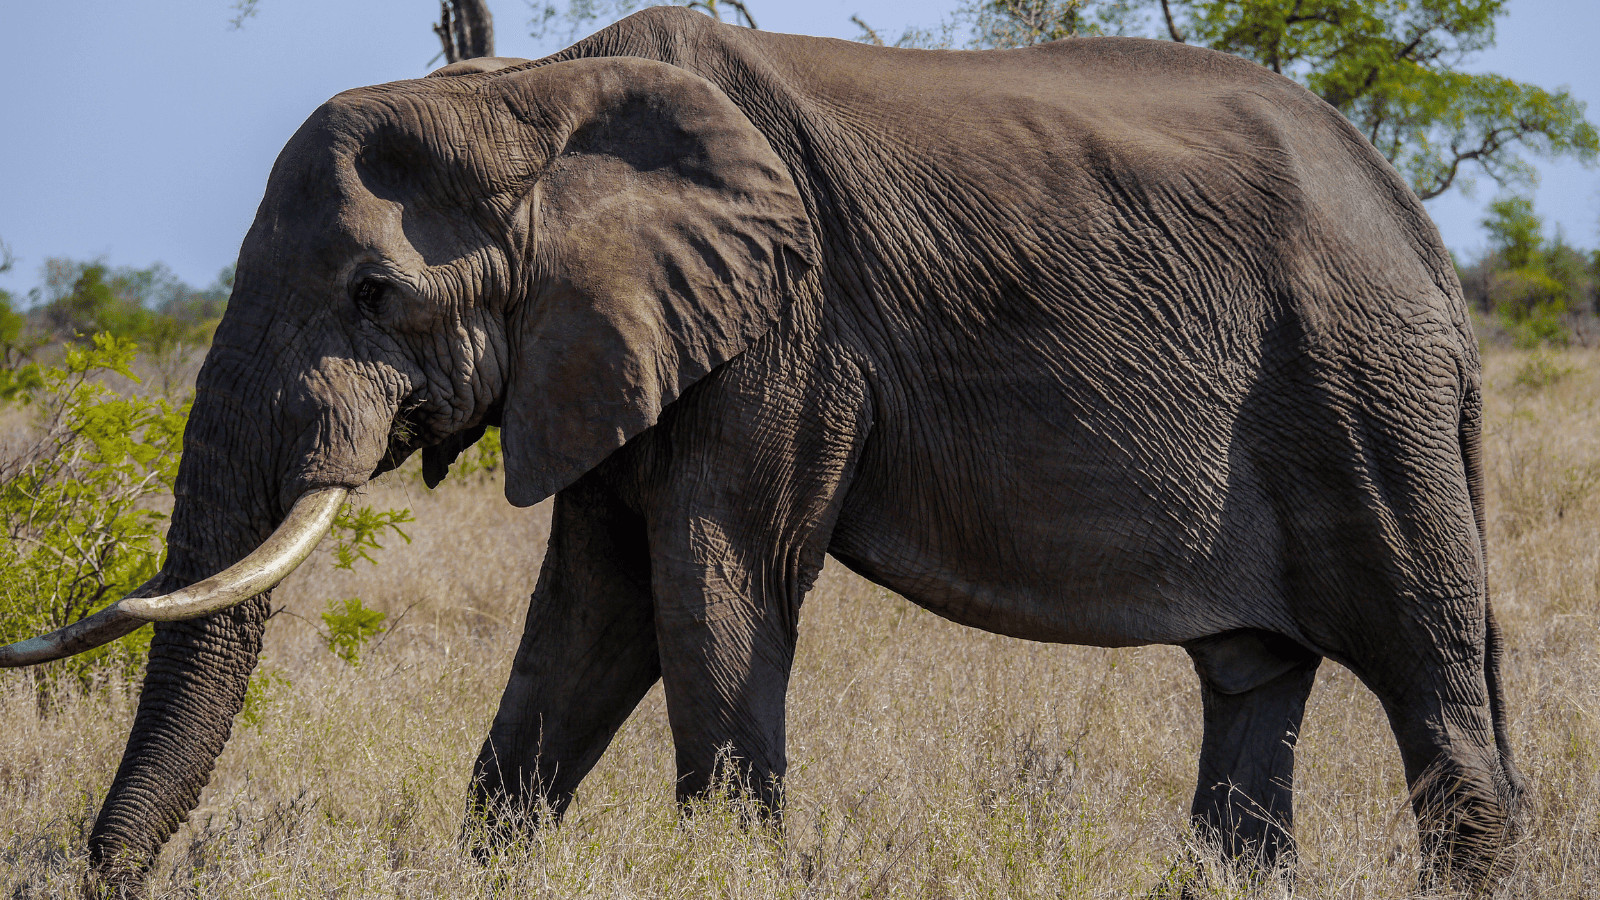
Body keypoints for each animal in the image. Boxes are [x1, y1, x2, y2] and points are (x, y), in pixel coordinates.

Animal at [2, 7, 1522, 893]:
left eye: (375, 295)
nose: (100, 875)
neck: (531, 93)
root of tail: (1424, 239)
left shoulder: (786, 327)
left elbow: (712, 577)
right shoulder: (615, 341)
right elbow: (592, 614)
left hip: (1363, 394)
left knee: (1428, 665)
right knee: (1253, 683)